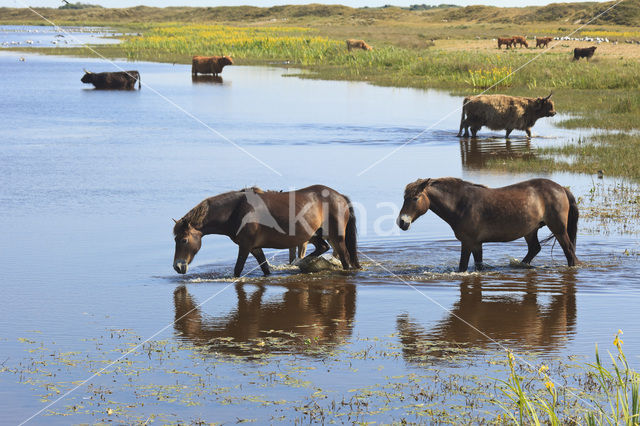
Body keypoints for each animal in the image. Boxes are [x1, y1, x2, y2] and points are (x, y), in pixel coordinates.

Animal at [172, 186, 360, 276]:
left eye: (184, 240)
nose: (177, 267)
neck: (237, 210)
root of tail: (340, 196)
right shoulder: (255, 248)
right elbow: (265, 268)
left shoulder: (245, 246)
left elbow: (238, 269)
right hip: (314, 235)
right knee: (323, 248)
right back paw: (301, 263)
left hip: (336, 237)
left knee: (344, 257)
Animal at [396, 177, 580, 272]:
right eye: (404, 198)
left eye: (415, 198)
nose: (402, 222)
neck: (461, 204)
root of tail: (561, 188)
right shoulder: (477, 244)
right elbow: (479, 265)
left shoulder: (468, 242)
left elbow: (462, 266)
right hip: (530, 230)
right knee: (535, 248)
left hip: (559, 229)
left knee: (569, 251)